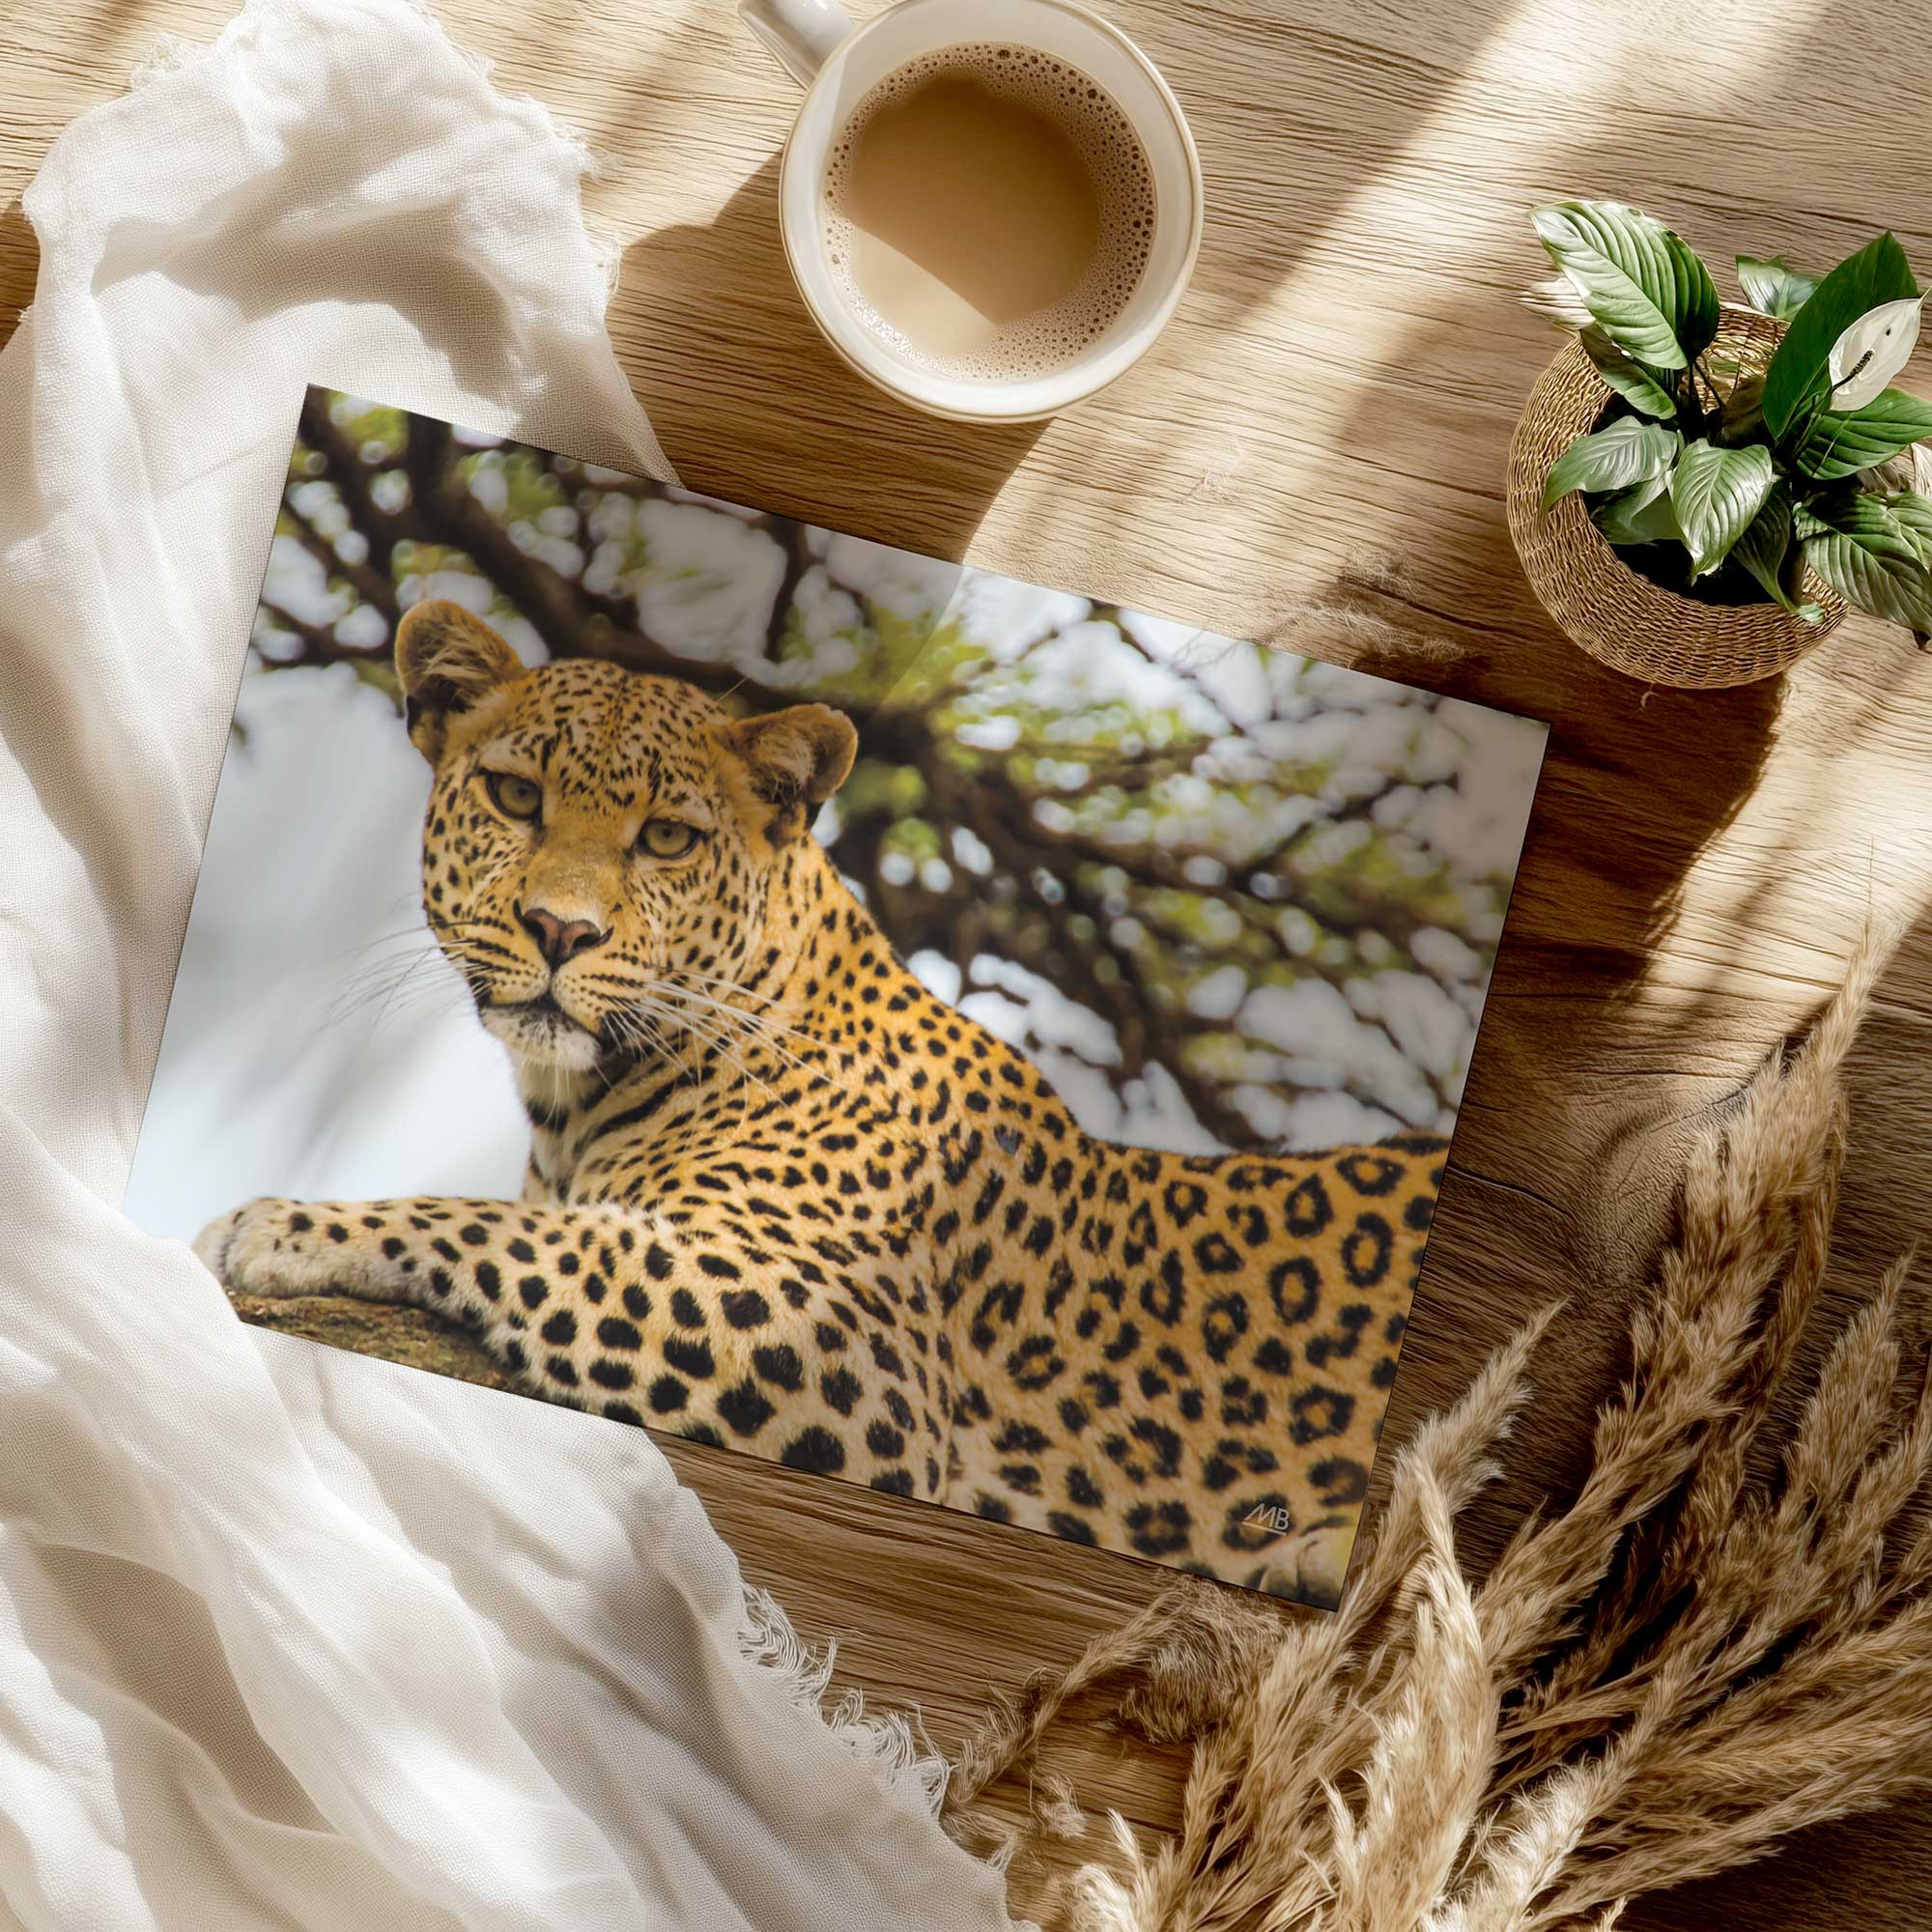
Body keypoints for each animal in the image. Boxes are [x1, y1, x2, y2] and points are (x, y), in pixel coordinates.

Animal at [196, 599, 1446, 1608]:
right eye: (514, 795)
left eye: (665, 837)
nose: (560, 930)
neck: (575, 1102)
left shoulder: (839, 1337)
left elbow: (514, 1233)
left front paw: (281, 1225)